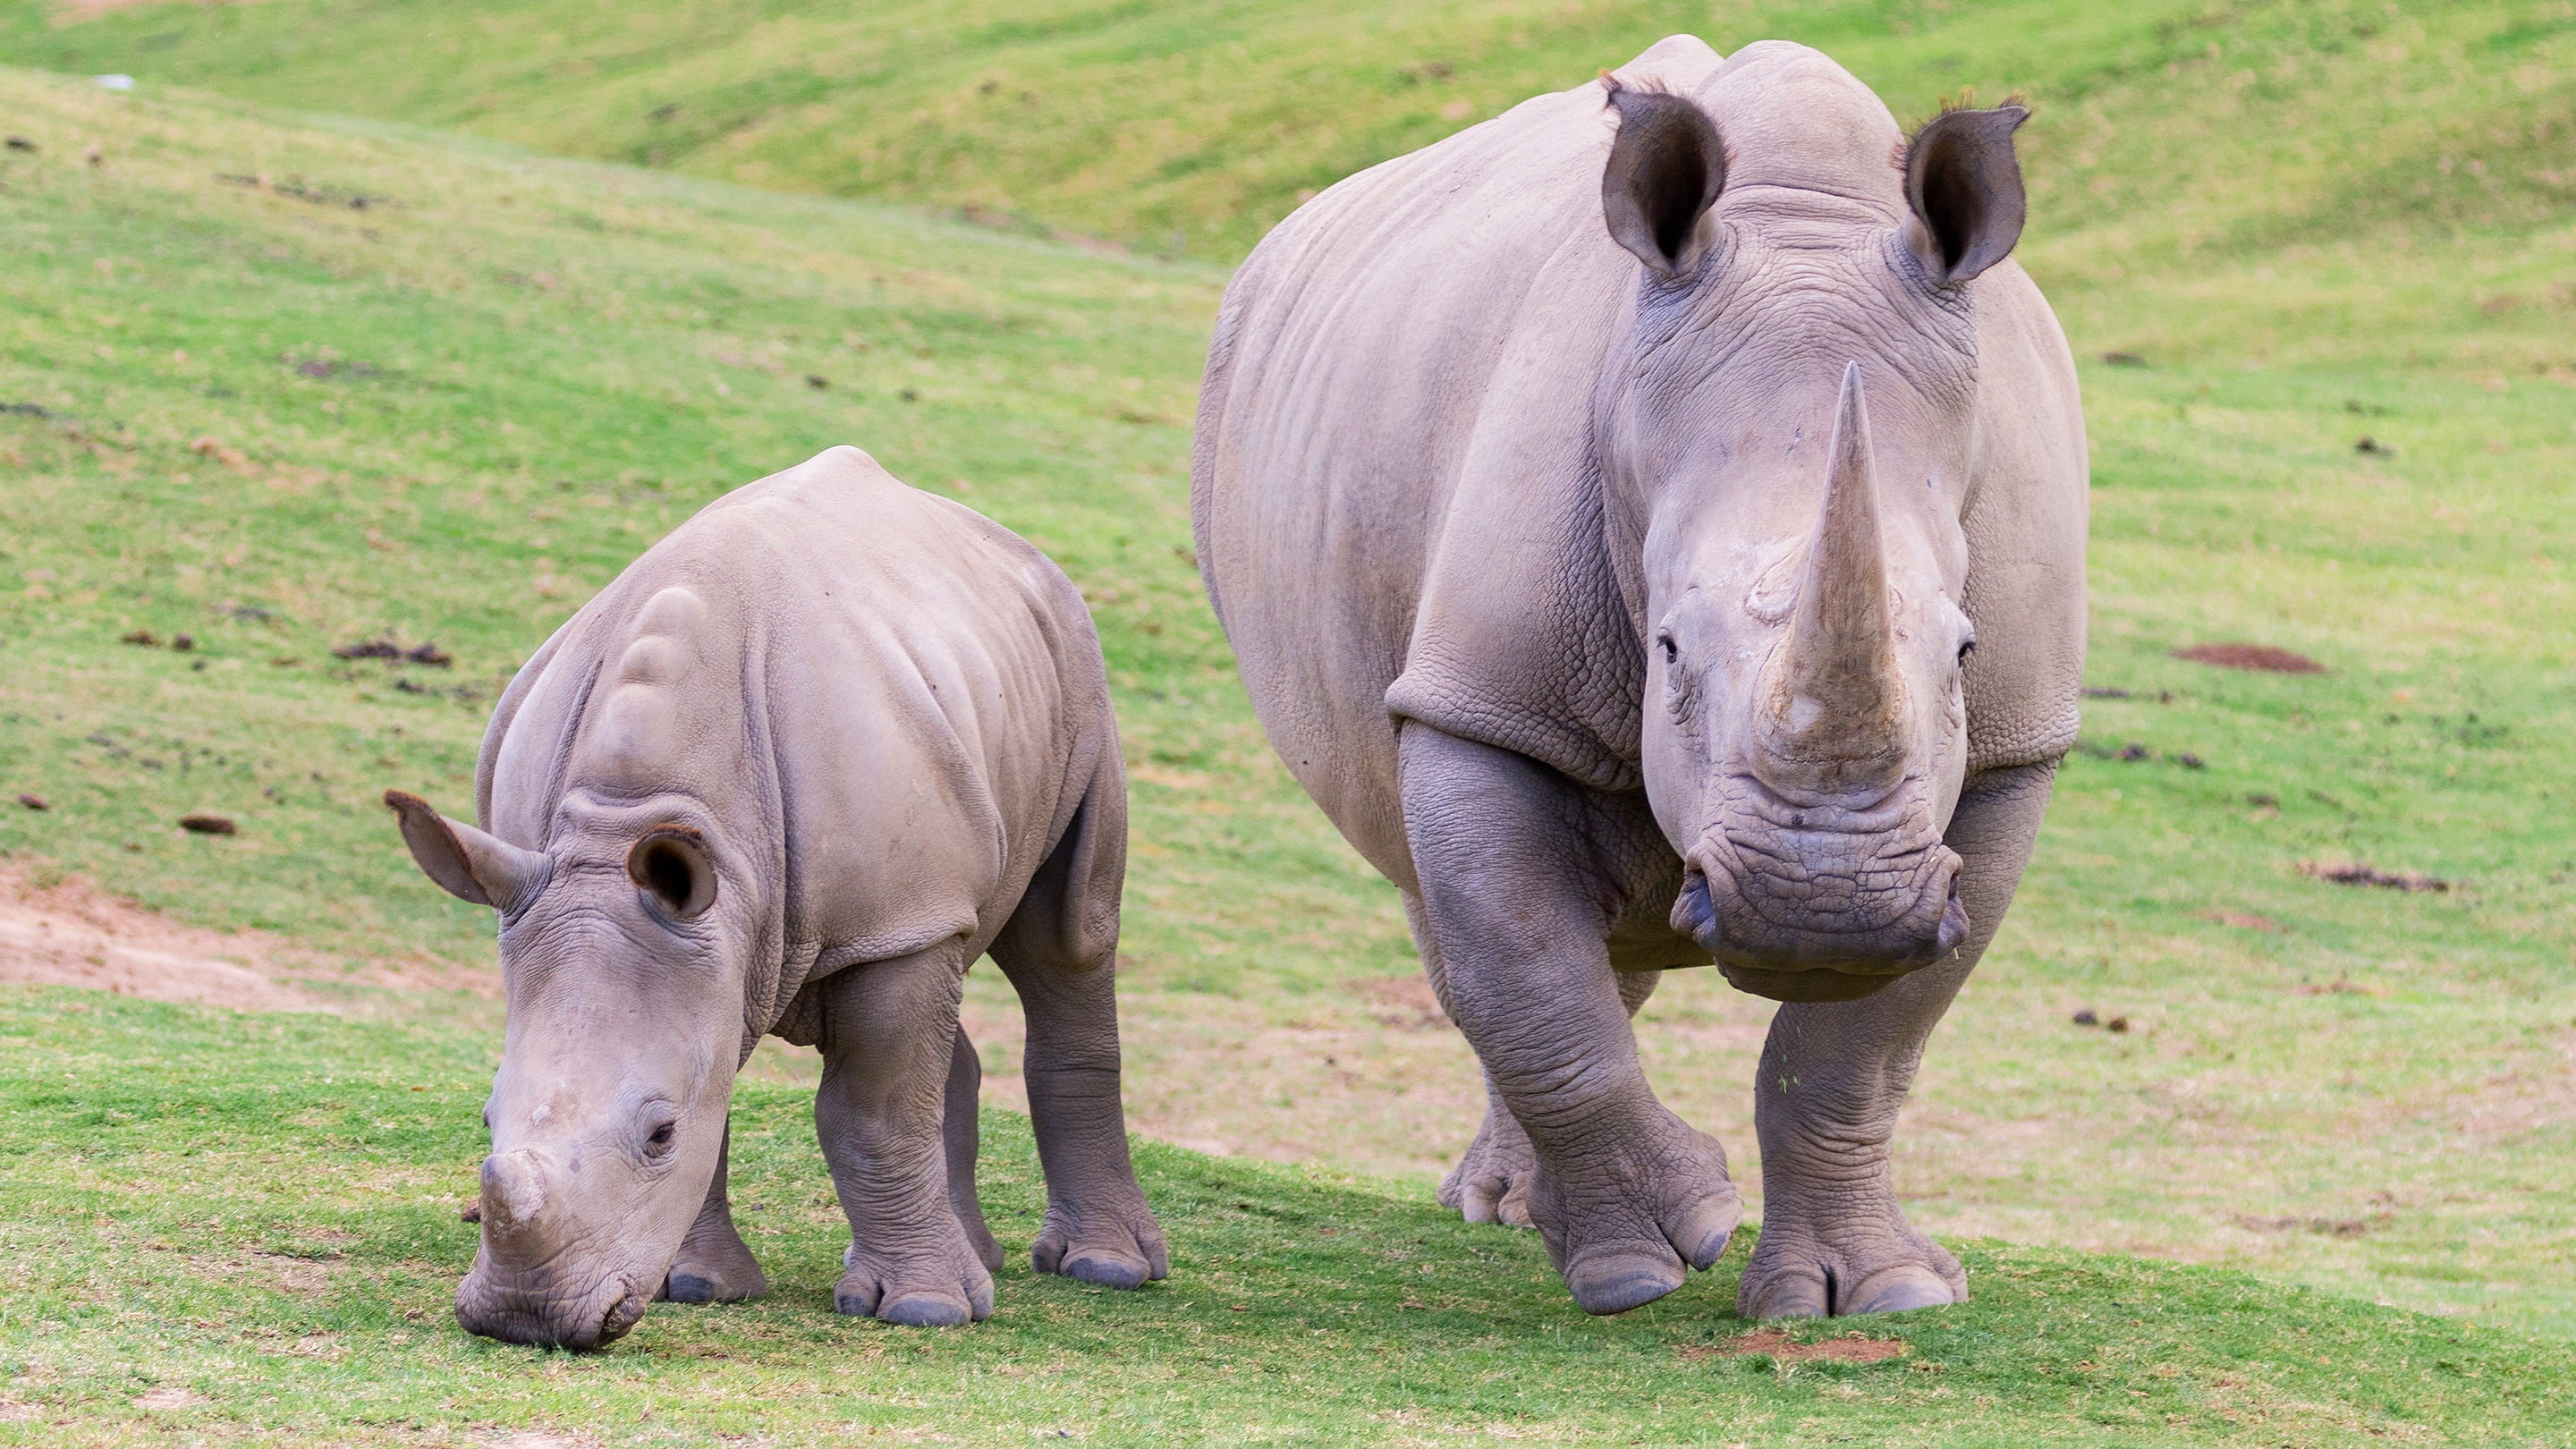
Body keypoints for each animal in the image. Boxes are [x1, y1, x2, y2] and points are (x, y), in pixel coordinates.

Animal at [386, 446, 1166, 1348]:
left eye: (658, 1135)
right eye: (484, 1119)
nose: (524, 1319)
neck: (633, 818)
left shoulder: (891, 919)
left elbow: (872, 1110)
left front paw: (926, 1310)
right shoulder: (691, 930)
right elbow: (722, 1082)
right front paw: (697, 1286)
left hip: (1075, 667)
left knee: (1066, 939)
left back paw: (1104, 1269)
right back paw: (985, 1260)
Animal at [1192, 37, 2084, 1318]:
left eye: (1963, 652)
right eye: (1667, 649)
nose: (1826, 911)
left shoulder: (2017, 743)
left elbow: (1858, 1051)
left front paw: (1881, 1293)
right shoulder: (1486, 704)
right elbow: (1524, 973)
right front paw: (1651, 1258)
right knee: (1449, 905)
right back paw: (1514, 1213)